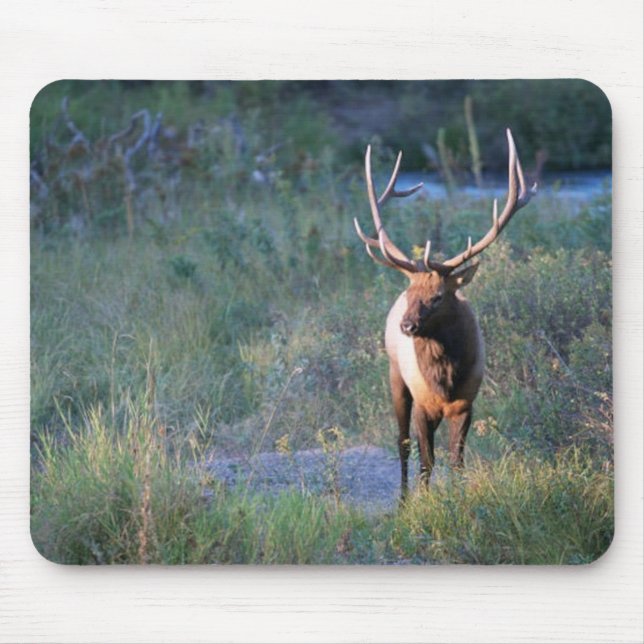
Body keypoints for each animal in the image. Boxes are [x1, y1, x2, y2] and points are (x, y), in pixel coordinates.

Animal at [353, 129, 536, 496]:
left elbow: (456, 461)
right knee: (402, 442)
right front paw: (424, 501)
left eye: (438, 296)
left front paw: (458, 497)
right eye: (411, 293)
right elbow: (426, 460)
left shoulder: (466, 403)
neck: (446, 380)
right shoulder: (424, 404)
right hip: (395, 375)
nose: (407, 325)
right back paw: (403, 497)